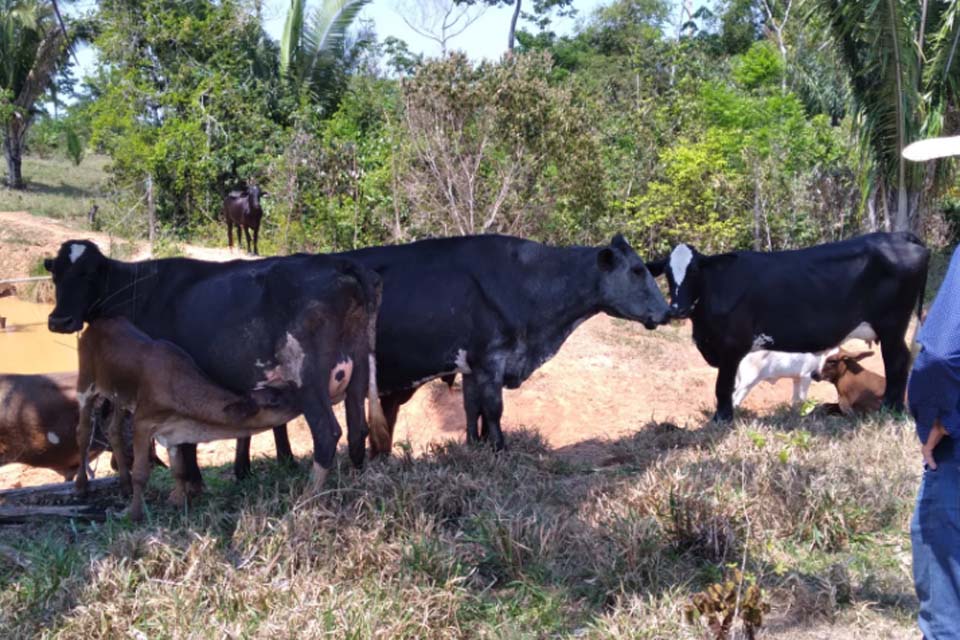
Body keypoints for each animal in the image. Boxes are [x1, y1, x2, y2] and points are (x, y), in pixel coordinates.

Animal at [44, 240, 390, 496]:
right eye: (56, 275)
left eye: (89, 274)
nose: (59, 320)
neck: (138, 290)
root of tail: (339, 263)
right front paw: (195, 485)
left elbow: (184, 441)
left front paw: (191, 486)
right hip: (358, 370)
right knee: (358, 430)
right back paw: (355, 490)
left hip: (308, 380)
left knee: (327, 433)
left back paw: (307, 501)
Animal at [76, 316, 296, 520]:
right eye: (274, 401)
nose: (299, 398)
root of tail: (96, 323)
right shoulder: (142, 422)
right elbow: (140, 473)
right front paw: (135, 514)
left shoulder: (172, 431)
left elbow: (179, 470)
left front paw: (180, 504)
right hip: (86, 383)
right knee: (84, 432)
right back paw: (81, 486)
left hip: (118, 397)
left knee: (114, 430)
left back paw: (124, 485)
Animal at [644, 232, 928, 422]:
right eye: (667, 273)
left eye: (694, 271)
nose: (677, 308)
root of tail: (900, 235)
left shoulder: (733, 346)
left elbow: (723, 387)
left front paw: (722, 419)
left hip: (892, 325)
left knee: (897, 361)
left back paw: (890, 409)